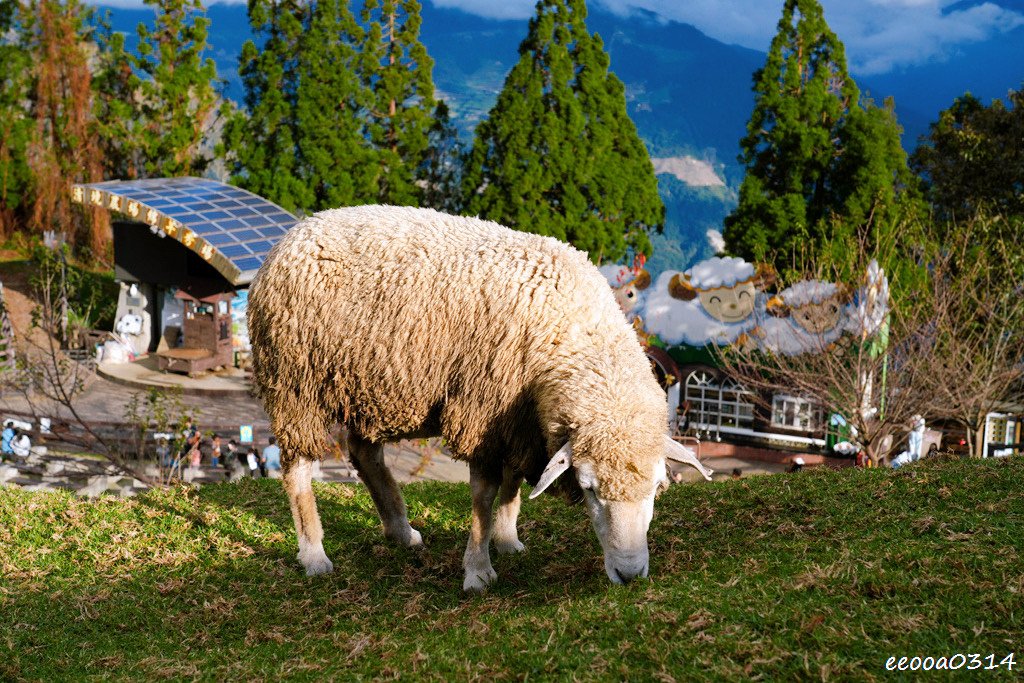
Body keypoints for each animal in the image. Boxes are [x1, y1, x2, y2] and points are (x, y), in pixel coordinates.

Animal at [247, 204, 712, 593]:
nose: (630, 574)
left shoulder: (519, 419)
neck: (572, 332)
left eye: (658, 487)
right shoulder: (483, 410)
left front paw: (507, 538)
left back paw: (400, 530)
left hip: (371, 383)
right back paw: (314, 554)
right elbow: (484, 498)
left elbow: (512, 485)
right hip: (295, 383)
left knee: (363, 453)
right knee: (298, 469)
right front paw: (478, 569)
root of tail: (295, 231)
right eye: (589, 489)